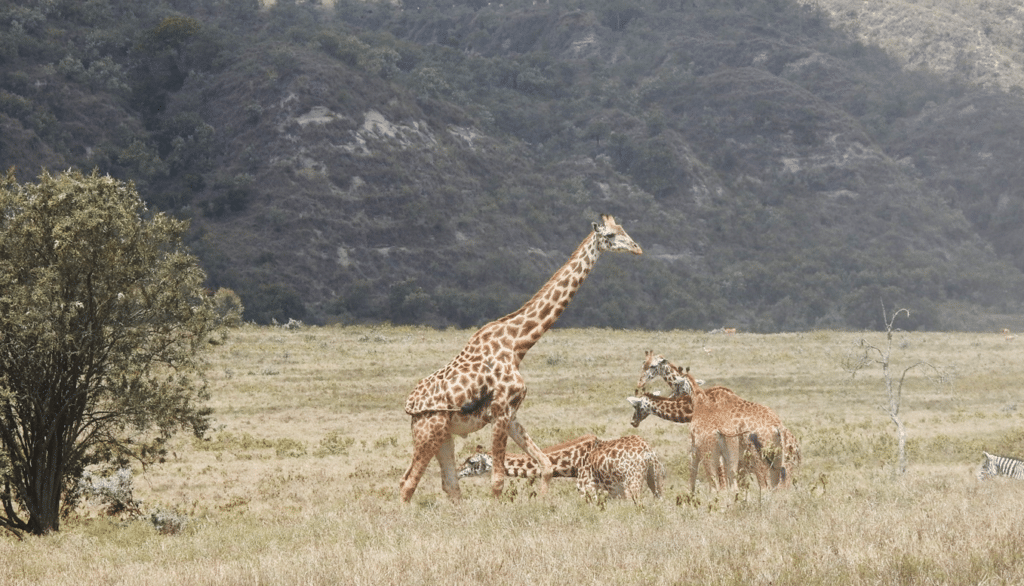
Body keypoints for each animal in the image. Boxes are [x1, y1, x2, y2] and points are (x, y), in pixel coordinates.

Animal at [399, 216, 638, 504]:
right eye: (611, 236)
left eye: (624, 230)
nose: (637, 248)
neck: (518, 344)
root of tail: (410, 406)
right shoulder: (500, 412)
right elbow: (498, 480)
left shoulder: (511, 414)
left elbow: (545, 464)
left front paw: (543, 503)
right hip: (429, 430)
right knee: (407, 482)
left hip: (444, 434)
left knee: (450, 484)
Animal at [460, 432, 667, 501]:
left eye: (471, 462)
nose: (459, 472)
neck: (574, 463)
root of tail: (648, 452)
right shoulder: (610, 492)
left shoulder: (586, 488)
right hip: (655, 479)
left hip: (633, 482)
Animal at [630, 352, 798, 493]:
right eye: (643, 363)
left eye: (652, 366)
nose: (639, 383)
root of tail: (779, 428)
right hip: (780, 463)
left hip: (761, 458)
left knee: (767, 486)